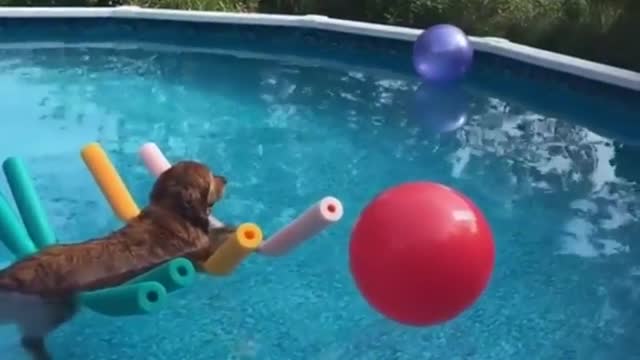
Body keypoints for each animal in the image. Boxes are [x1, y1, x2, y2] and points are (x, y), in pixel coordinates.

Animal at [0, 161, 236, 360]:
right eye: (211, 176)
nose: (225, 178)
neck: (171, 213)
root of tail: (9, 276)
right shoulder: (197, 251)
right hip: (57, 309)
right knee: (30, 339)